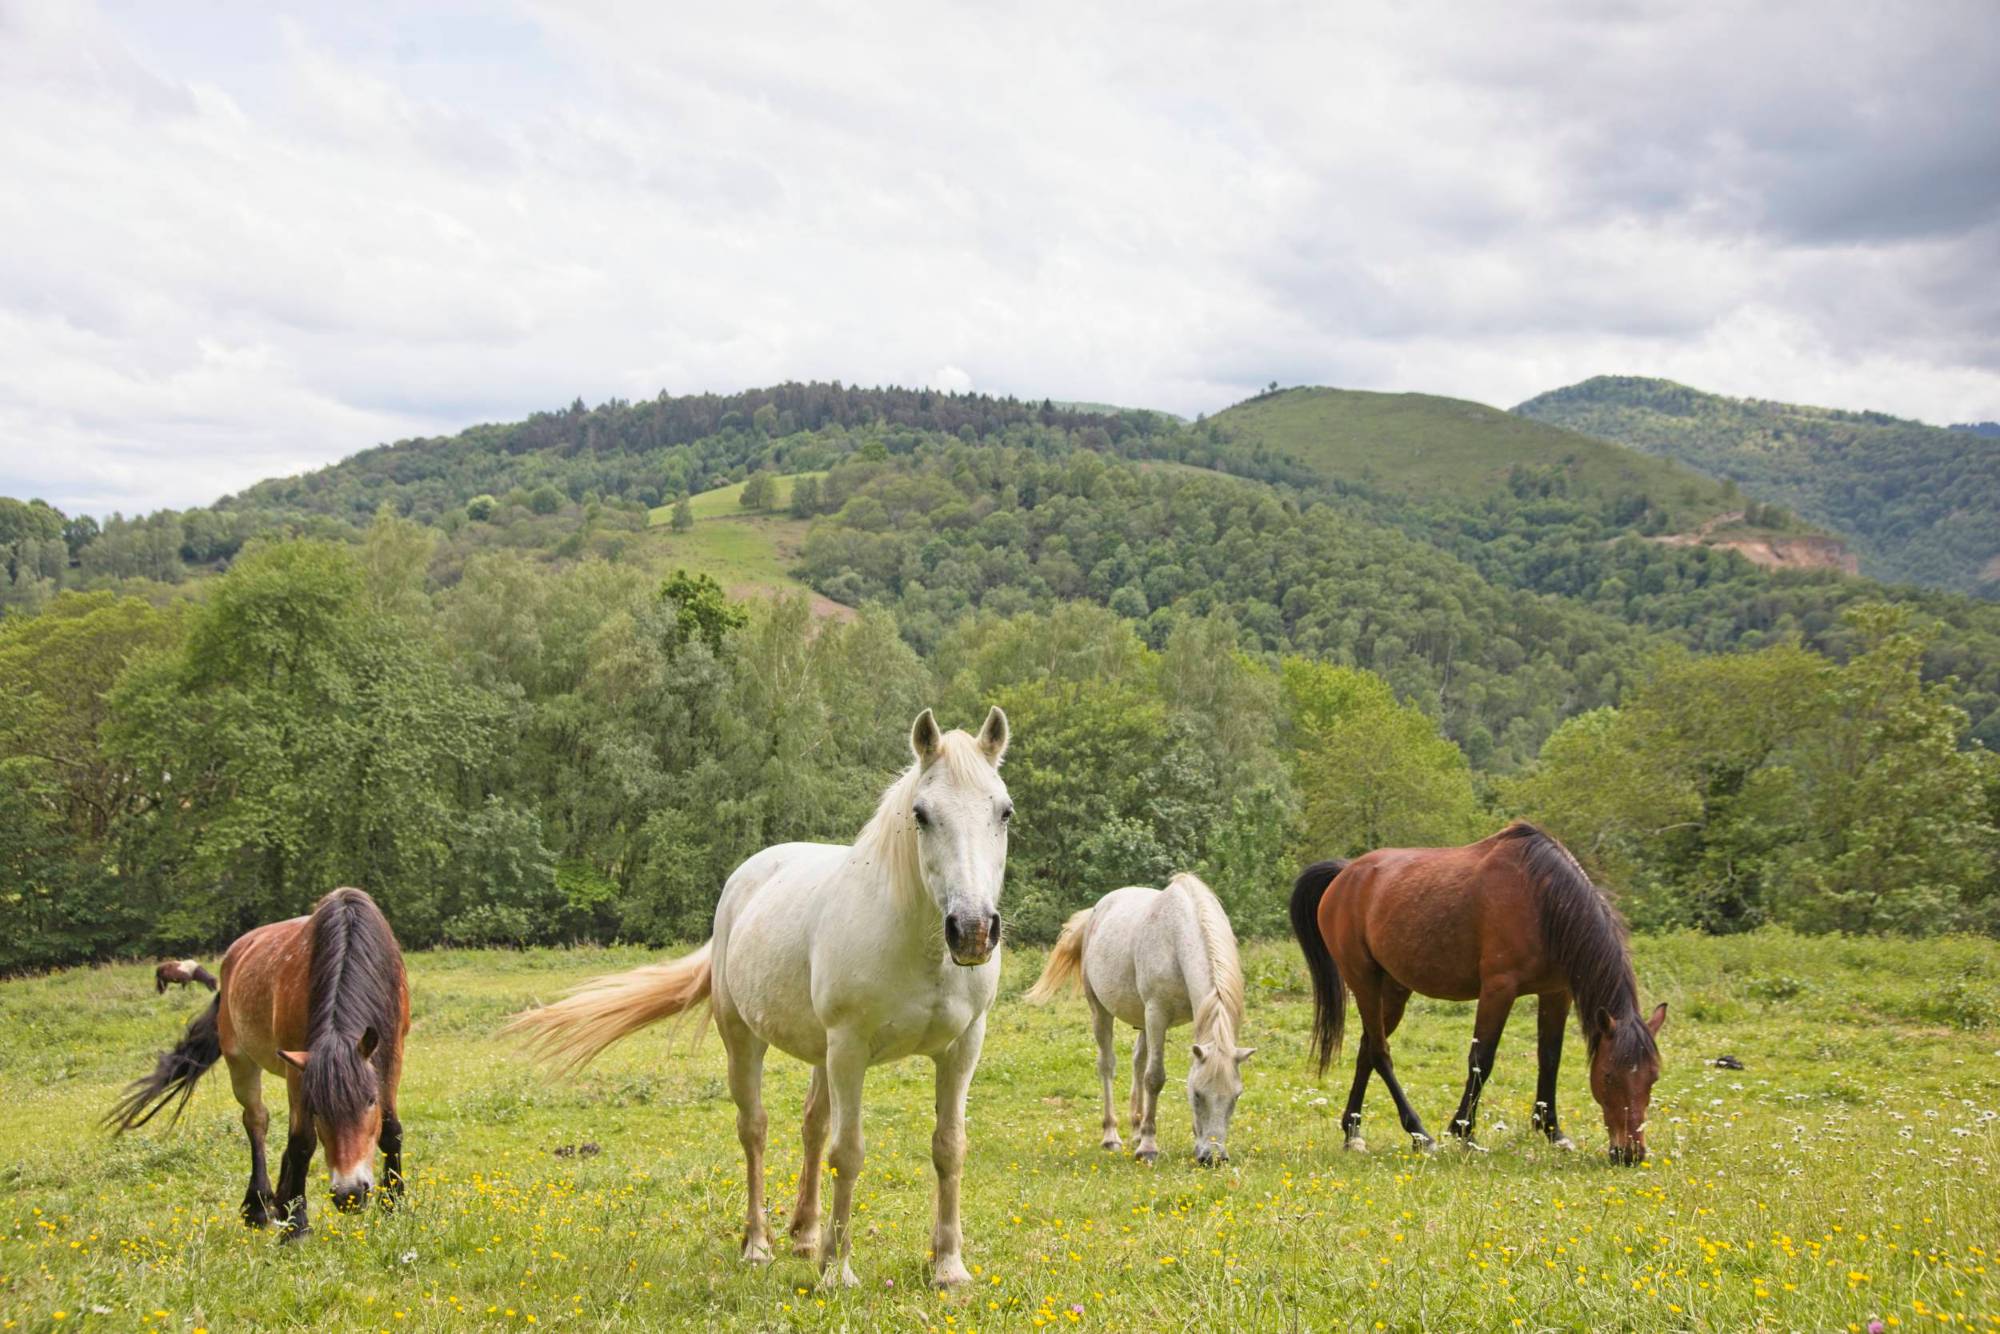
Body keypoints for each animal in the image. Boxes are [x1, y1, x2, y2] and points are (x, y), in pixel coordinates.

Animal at [108, 888, 411, 1236]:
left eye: (370, 1100)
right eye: (318, 1108)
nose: (349, 1194)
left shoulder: (390, 1054)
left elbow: (391, 1130)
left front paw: (393, 1206)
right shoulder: (298, 1069)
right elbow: (302, 1142)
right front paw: (296, 1227)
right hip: (240, 1061)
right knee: (256, 1121)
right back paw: (259, 1205)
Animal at [507, 707, 1012, 1289]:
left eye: (1004, 812)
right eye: (921, 814)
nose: (972, 931)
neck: (916, 943)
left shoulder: (962, 1046)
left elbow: (948, 1148)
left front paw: (949, 1268)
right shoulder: (850, 1048)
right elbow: (849, 1152)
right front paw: (838, 1272)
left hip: (821, 1052)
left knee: (812, 1126)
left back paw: (806, 1234)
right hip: (746, 1038)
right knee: (755, 1130)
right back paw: (759, 1244)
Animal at [1026, 872, 1253, 1166]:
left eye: (1236, 1095)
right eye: (1197, 1094)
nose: (1213, 1157)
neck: (1177, 937)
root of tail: (1095, 913)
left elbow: (1150, 1070)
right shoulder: (1157, 1012)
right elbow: (1155, 1077)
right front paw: (1148, 1147)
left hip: (1143, 1020)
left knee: (1138, 1061)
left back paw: (1135, 1128)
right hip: (1102, 1012)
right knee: (1107, 1065)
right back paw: (1112, 1136)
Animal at [1289, 822, 1666, 1165]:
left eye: (1653, 1077)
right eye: (1608, 1076)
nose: (1631, 1154)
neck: (1542, 899)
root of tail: (1345, 874)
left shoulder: (1556, 992)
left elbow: (1550, 1058)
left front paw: (1552, 1131)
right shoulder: (1499, 988)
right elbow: (1481, 1059)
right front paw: (1463, 1131)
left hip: (1395, 989)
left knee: (1367, 1049)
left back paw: (1353, 1132)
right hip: (1364, 980)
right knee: (1381, 1053)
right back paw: (1419, 1134)